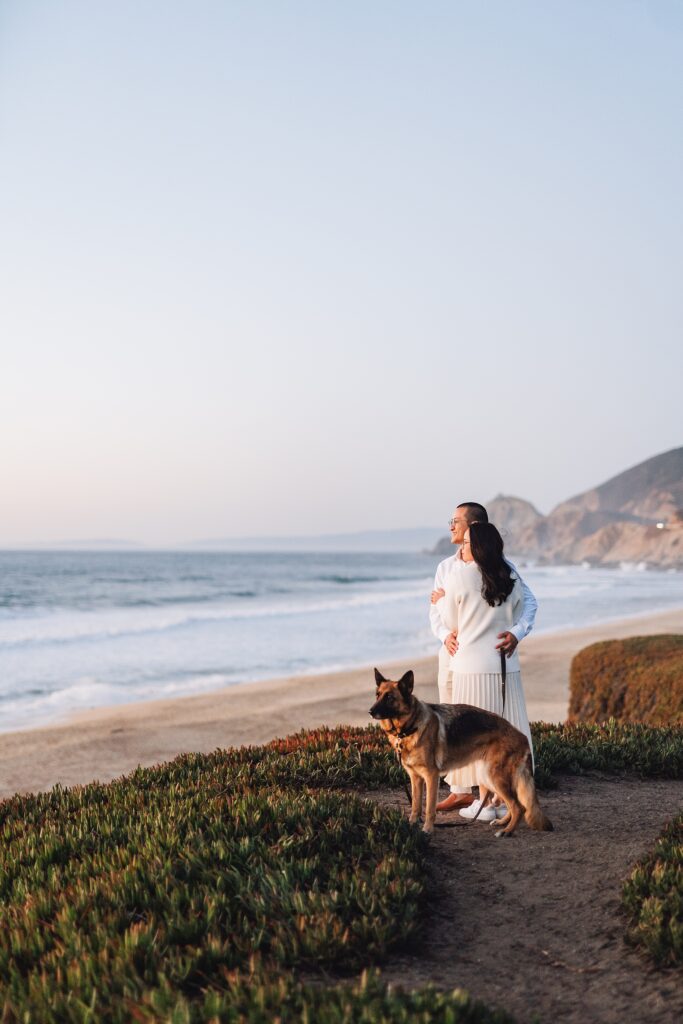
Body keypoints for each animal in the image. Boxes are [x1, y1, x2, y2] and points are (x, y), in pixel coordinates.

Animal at [370, 667, 552, 835]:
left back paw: (507, 831)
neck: (409, 727)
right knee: (513, 804)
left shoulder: (431, 776)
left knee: (518, 807)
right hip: (489, 777)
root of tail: (522, 736)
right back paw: (502, 822)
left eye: (389, 697)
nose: (370, 712)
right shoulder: (415, 778)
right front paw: (411, 824)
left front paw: (427, 829)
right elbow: (415, 805)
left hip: (493, 777)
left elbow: (429, 807)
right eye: (377, 695)